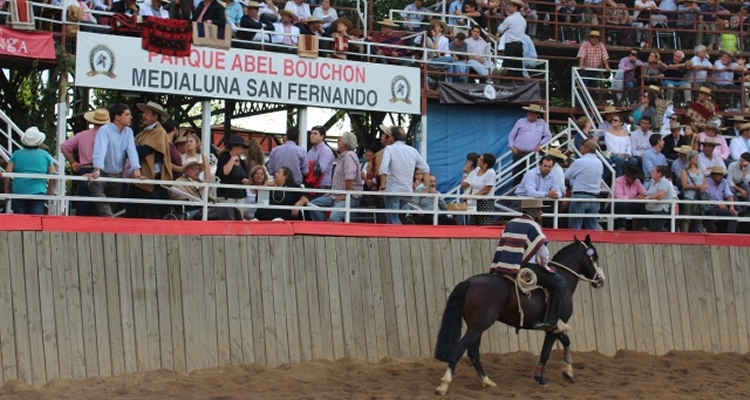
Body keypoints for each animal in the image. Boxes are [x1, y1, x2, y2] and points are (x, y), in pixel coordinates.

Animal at [434, 234, 604, 394]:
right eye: (595, 257)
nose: (601, 281)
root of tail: (469, 282)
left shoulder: (554, 326)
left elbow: (566, 340)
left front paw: (568, 371)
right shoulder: (553, 325)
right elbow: (546, 352)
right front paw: (540, 378)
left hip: (476, 327)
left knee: (473, 353)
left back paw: (487, 381)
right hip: (478, 327)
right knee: (459, 349)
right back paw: (444, 384)